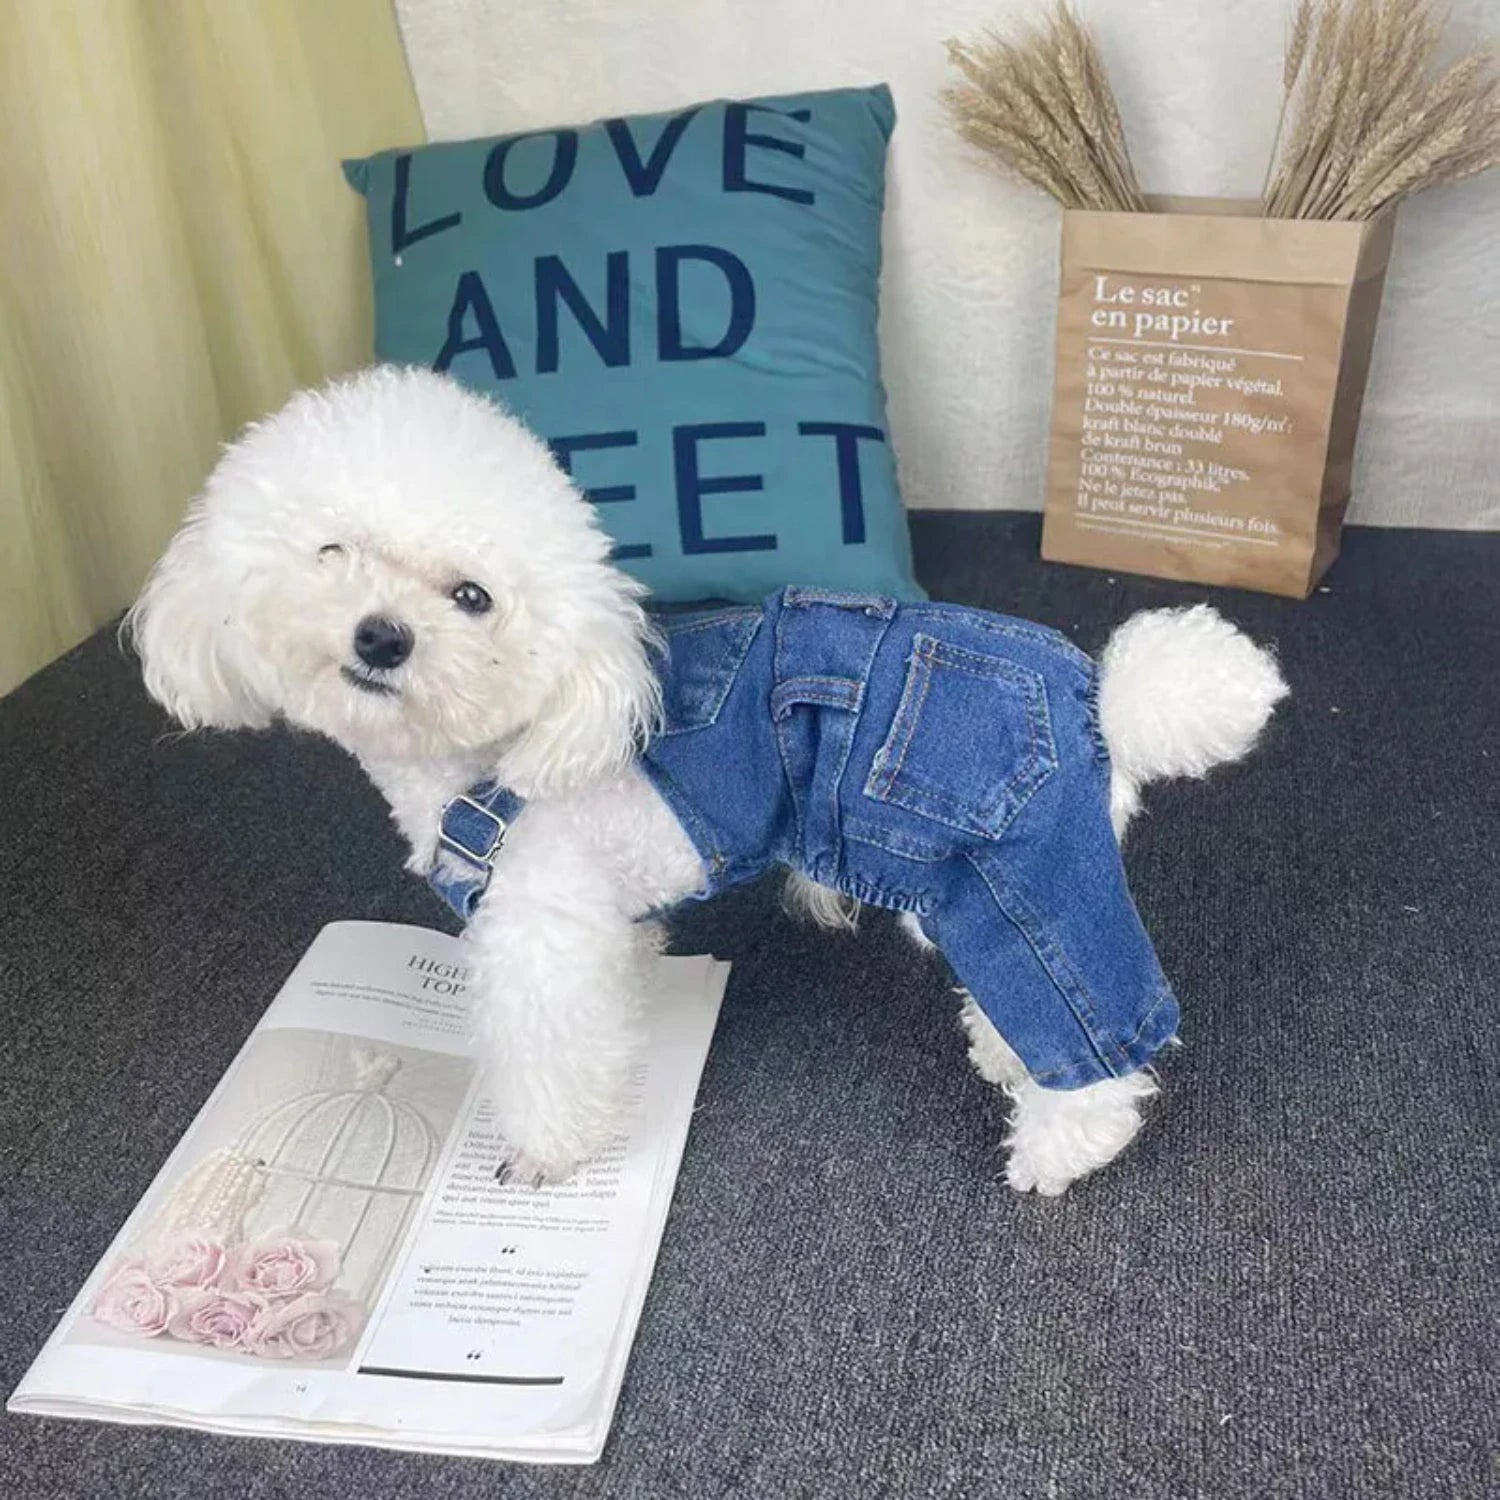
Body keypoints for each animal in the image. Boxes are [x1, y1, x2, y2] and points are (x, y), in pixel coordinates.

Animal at [126, 363, 1290, 1194]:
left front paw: (544, 1153)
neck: (499, 753)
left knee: (1095, 1024)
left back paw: (1063, 1144)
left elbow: (549, 1055)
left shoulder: (540, 932)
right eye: (332, 552)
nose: (382, 637)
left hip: (1017, 866)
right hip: (979, 883)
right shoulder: (592, 916)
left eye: (472, 597)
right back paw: (1007, 1058)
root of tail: (1106, 697)